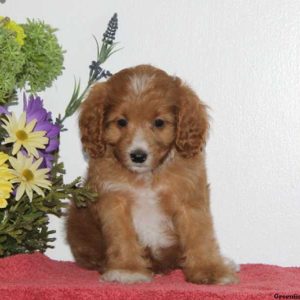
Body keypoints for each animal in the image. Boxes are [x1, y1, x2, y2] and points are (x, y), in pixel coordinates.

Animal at [66, 64, 239, 284]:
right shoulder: (115, 201)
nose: (138, 156)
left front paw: (209, 270)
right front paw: (127, 270)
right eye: (121, 122)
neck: (147, 177)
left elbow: (199, 236)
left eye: (159, 123)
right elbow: (122, 238)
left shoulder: (190, 198)